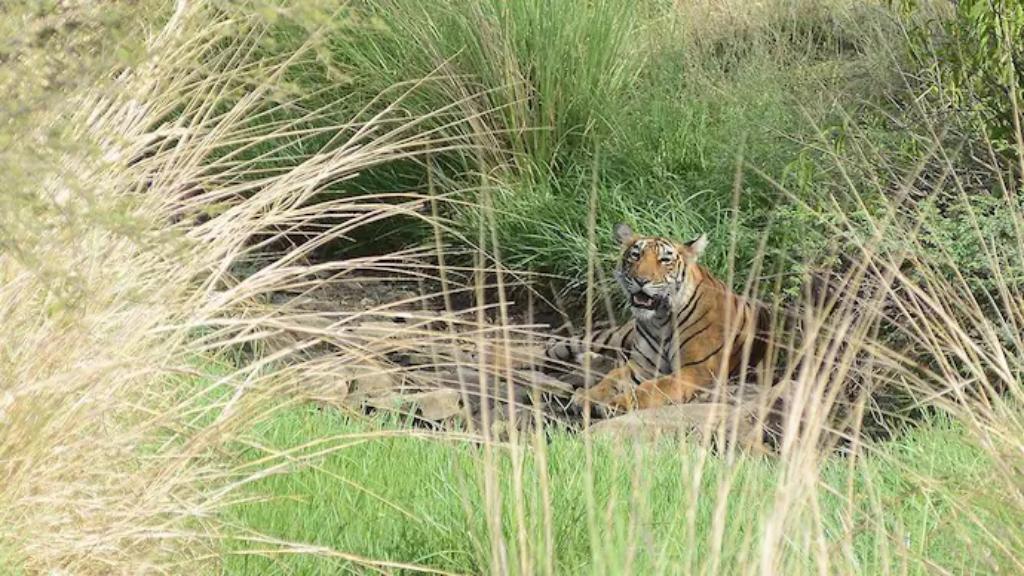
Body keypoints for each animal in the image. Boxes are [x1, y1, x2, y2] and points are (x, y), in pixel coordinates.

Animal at [548, 222, 765, 414]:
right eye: (635, 255)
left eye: (665, 260)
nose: (641, 280)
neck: (660, 320)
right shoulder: (642, 366)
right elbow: (613, 378)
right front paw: (587, 397)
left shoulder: (694, 372)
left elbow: (652, 388)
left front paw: (616, 404)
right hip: (613, 337)